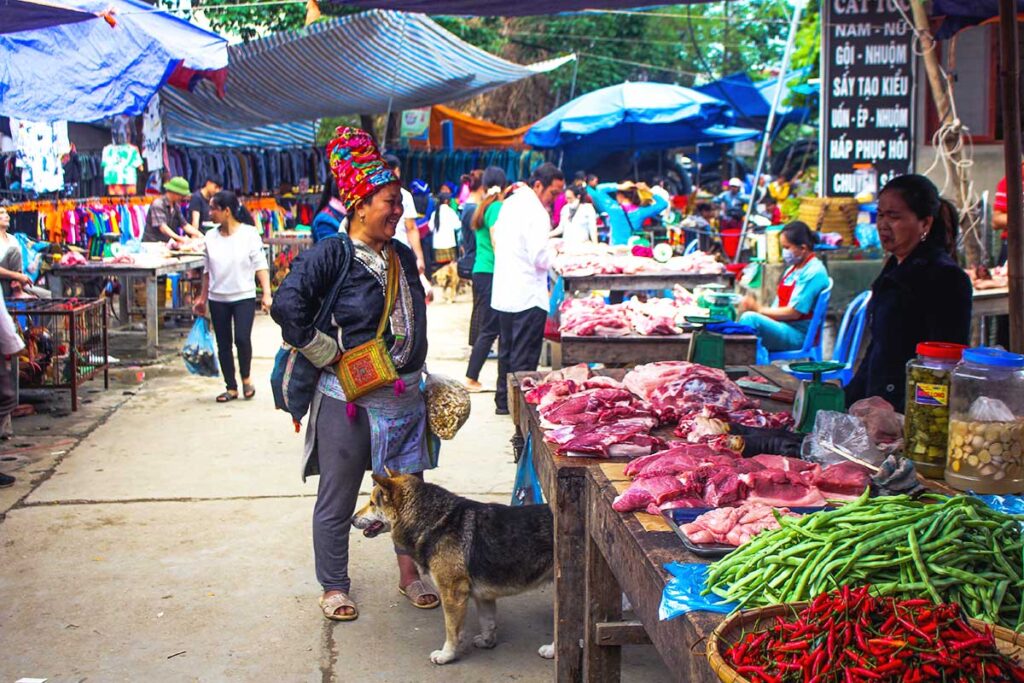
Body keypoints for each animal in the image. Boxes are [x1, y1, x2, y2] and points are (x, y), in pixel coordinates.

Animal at [352, 473, 552, 663]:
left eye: (372, 503)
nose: (353, 519)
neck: (435, 521)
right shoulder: (483, 596)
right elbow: (487, 621)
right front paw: (487, 642)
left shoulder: (452, 594)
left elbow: (452, 630)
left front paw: (446, 655)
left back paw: (551, 650)